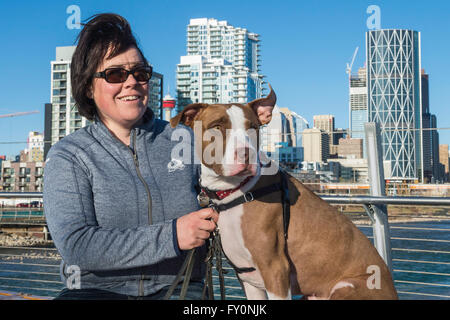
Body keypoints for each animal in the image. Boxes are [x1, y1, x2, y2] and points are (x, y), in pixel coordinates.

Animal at [170, 86, 398, 298]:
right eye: (217, 127)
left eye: (253, 128)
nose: (246, 153)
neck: (232, 191)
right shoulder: (248, 279)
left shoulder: (276, 271)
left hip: (346, 286)